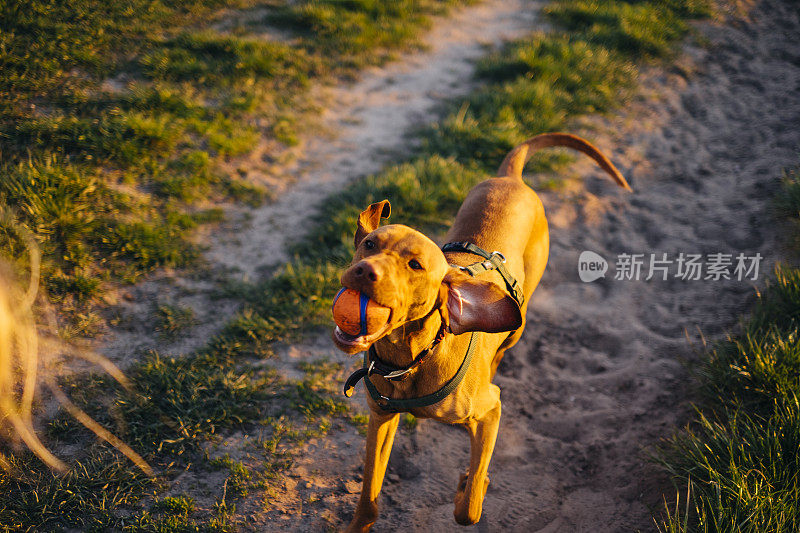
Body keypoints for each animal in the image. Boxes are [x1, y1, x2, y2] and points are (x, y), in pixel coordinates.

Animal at [332, 132, 632, 528]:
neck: (410, 361)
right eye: (369, 244)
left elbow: (469, 508)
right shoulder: (381, 418)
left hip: (520, 319)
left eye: (415, 265)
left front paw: (468, 485)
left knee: (502, 352)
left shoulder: (490, 411)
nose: (365, 271)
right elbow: (369, 498)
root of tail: (511, 178)